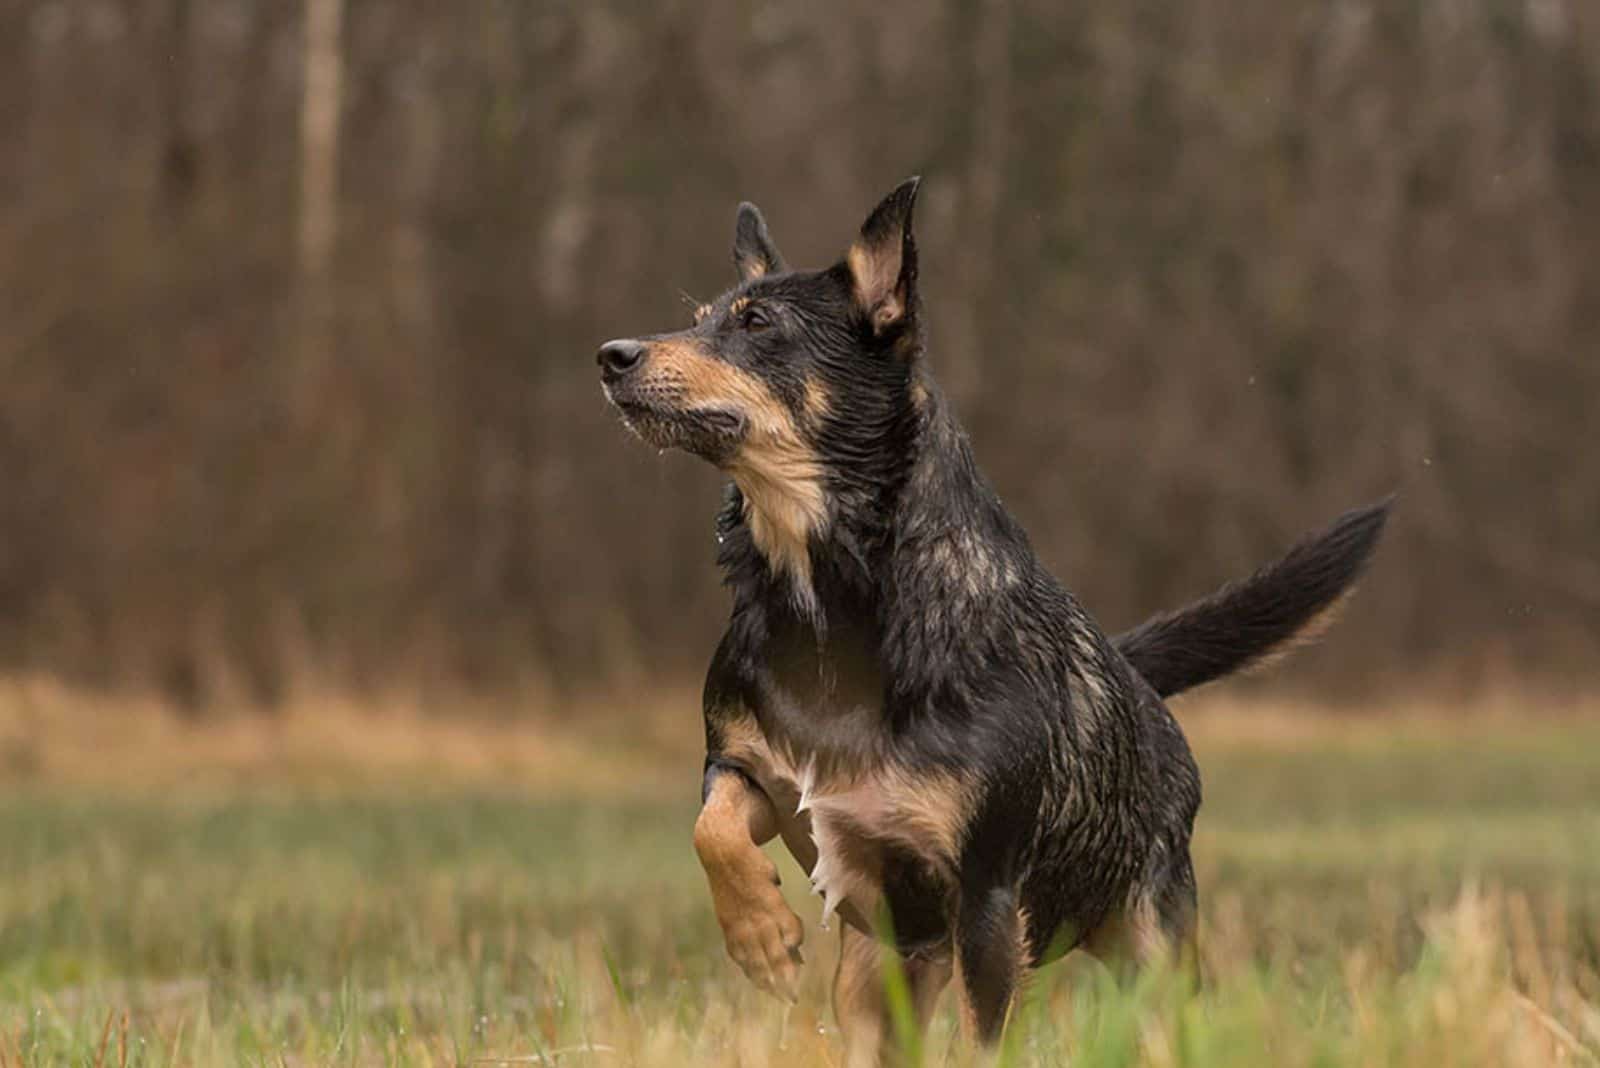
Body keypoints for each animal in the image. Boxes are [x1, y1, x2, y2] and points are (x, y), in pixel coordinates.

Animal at [598, 177, 1388, 1061]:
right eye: (702, 315)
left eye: (758, 324)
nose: (612, 356)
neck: (829, 604)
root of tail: (1134, 677)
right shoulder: (747, 768)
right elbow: (713, 825)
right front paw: (759, 933)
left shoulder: (986, 897)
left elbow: (985, 1037)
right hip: (878, 974)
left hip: (1151, 943)